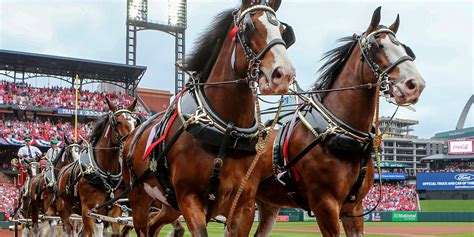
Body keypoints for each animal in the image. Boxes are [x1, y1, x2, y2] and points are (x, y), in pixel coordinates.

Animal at [56, 97, 137, 236]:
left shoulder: (114, 210)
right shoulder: (88, 210)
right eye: (118, 122)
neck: (106, 173)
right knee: (68, 228)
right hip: (65, 211)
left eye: (135, 122)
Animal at [120, 0, 294, 235]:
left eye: (284, 31)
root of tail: (132, 134)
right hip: (139, 198)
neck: (226, 132)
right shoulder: (189, 200)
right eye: (249, 27)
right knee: (142, 225)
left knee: (153, 224)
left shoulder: (244, 206)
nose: (284, 74)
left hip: (168, 205)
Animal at [256, 6, 426, 236]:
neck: (338, 131)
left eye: (405, 48)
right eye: (377, 45)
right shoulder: (325, 205)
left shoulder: (354, 208)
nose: (415, 85)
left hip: (268, 205)